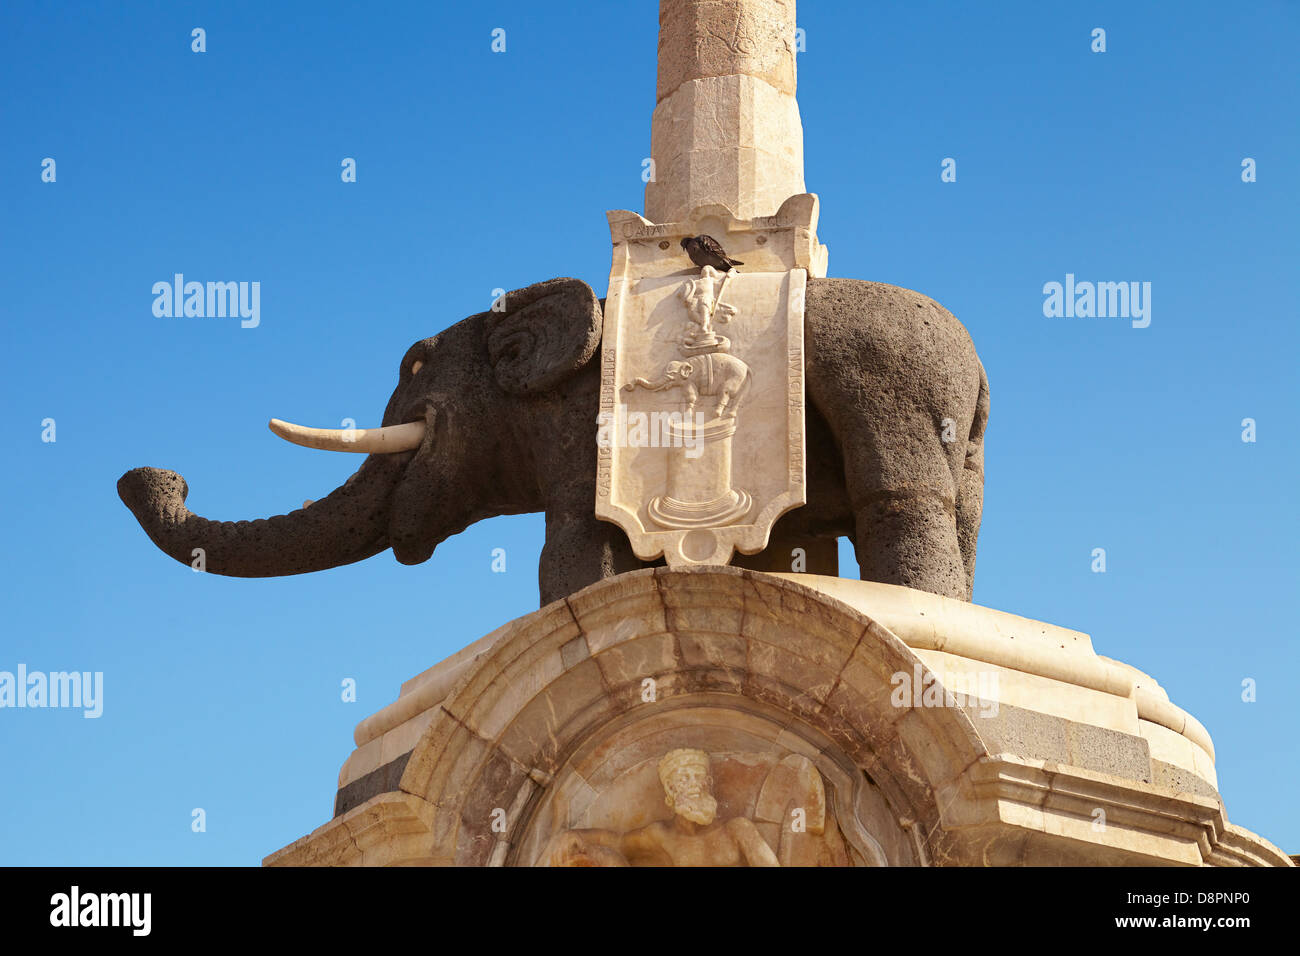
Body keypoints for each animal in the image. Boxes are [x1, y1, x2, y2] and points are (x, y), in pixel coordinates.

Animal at [623, 352, 753, 419]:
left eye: (672, 375)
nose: (628, 385)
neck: (684, 362)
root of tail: (746, 367)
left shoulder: (691, 379)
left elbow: (692, 395)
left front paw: (688, 414)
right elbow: (687, 395)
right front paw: (683, 413)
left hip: (735, 376)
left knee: (725, 392)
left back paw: (716, 414)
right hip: (742, 379)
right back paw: (730, 415)